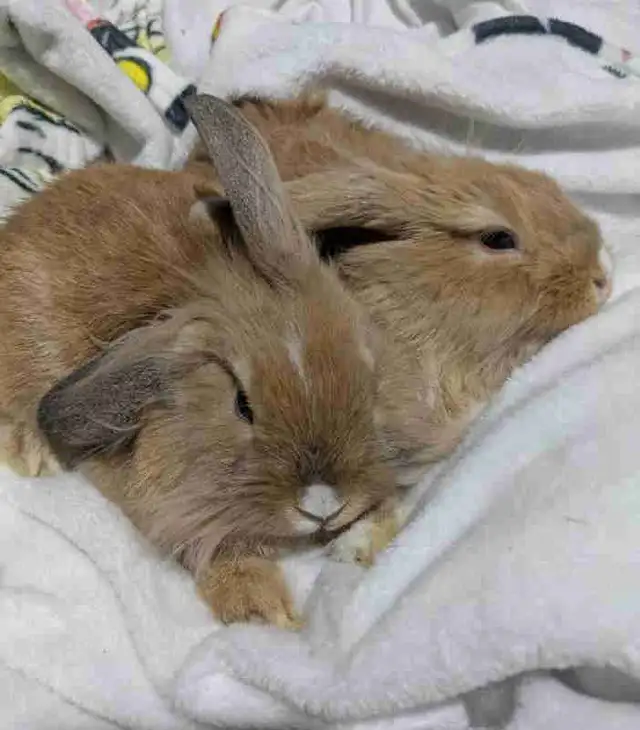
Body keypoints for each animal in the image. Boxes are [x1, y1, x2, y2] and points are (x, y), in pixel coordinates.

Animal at [0, 94, 396, 628]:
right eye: (242, 406)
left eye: (363, 365)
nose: (324, 502)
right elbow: (221, 551)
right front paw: (267, 613)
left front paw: (366, 537)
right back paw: (29, 450)